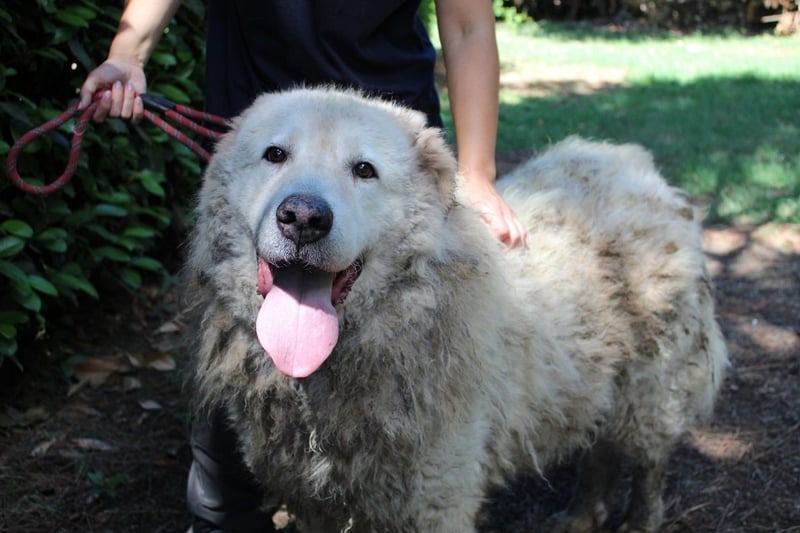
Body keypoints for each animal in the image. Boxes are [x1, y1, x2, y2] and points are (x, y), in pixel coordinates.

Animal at [185, 87, 728, 532]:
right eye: (275, 155)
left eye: (364, 170)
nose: (303, 217)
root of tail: (631, 164)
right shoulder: (312, 499)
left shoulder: (435, 499)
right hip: (596, 384)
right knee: (600, 455)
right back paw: (580, 517)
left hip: (651, 390)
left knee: (648, 467)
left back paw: (638, 521)